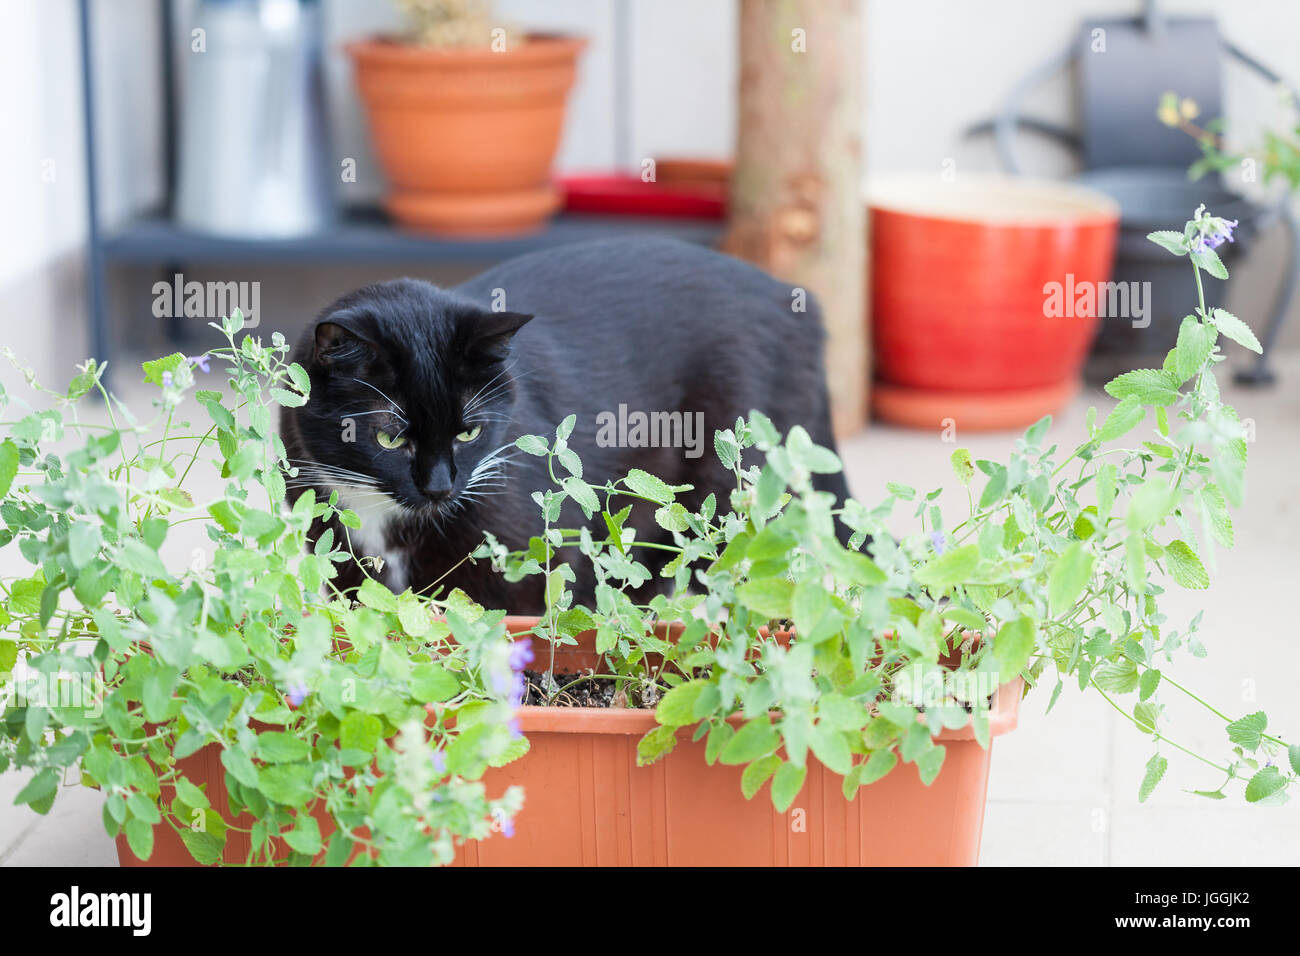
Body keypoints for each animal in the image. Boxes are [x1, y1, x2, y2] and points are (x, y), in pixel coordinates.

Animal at [282, 238, 852, 613]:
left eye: (469, 433)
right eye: (390, 437)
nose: (440, 487)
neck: (383, 516)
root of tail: (798, 303)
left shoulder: (531, 564)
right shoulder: (346, 563)